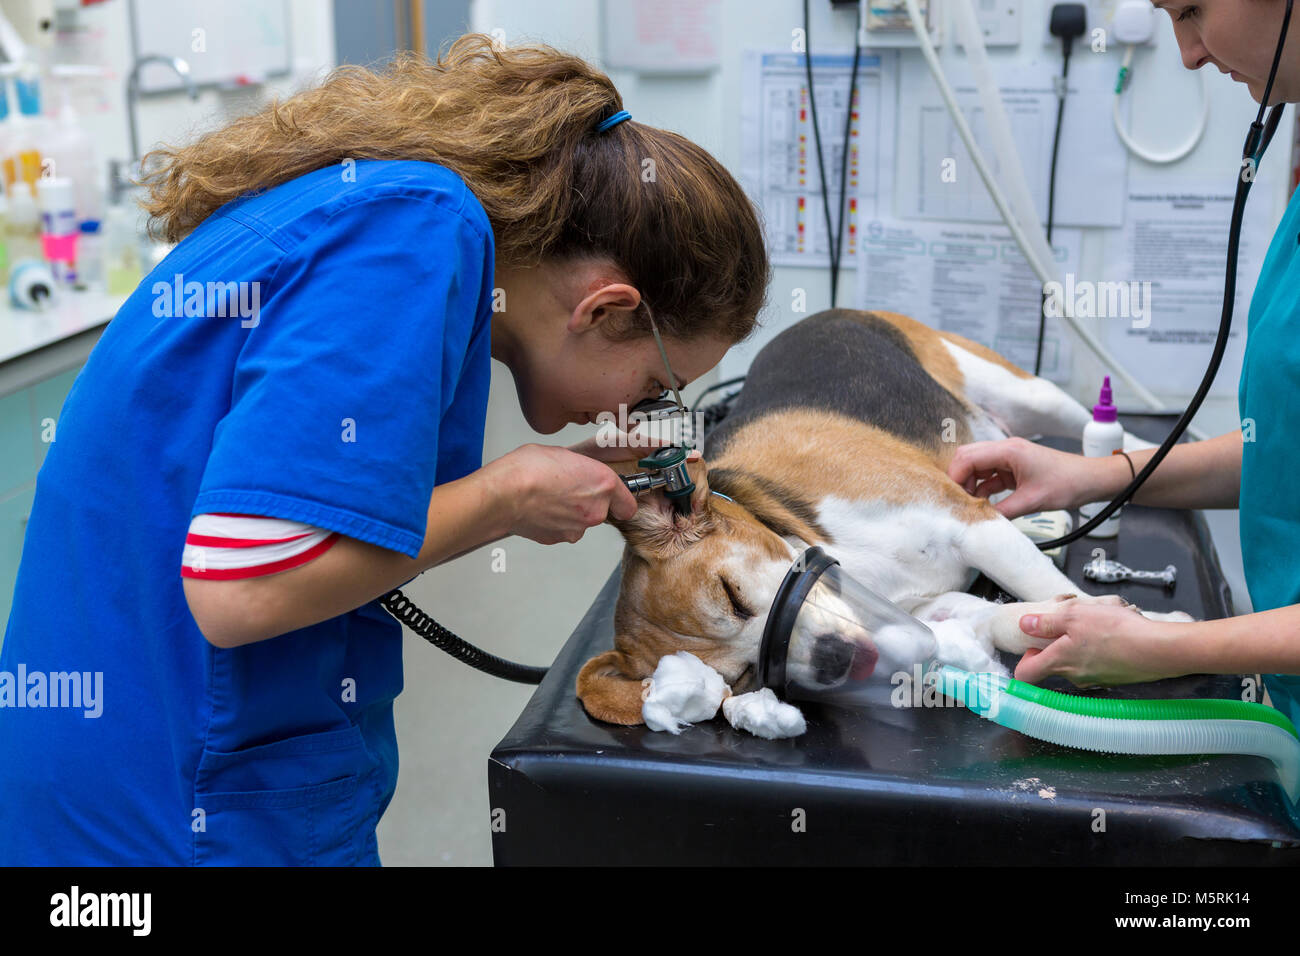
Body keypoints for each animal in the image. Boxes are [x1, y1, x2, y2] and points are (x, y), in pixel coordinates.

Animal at [579, 310, 1196, 728]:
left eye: (732, 596)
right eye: (745, 678)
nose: (834, 661)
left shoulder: (969, 520)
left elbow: (1044, 584)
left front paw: (1139, 626)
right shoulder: (926, 607)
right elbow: (1014, 616)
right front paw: (1069, 625)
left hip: (1027, 393)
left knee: (1110, 433)